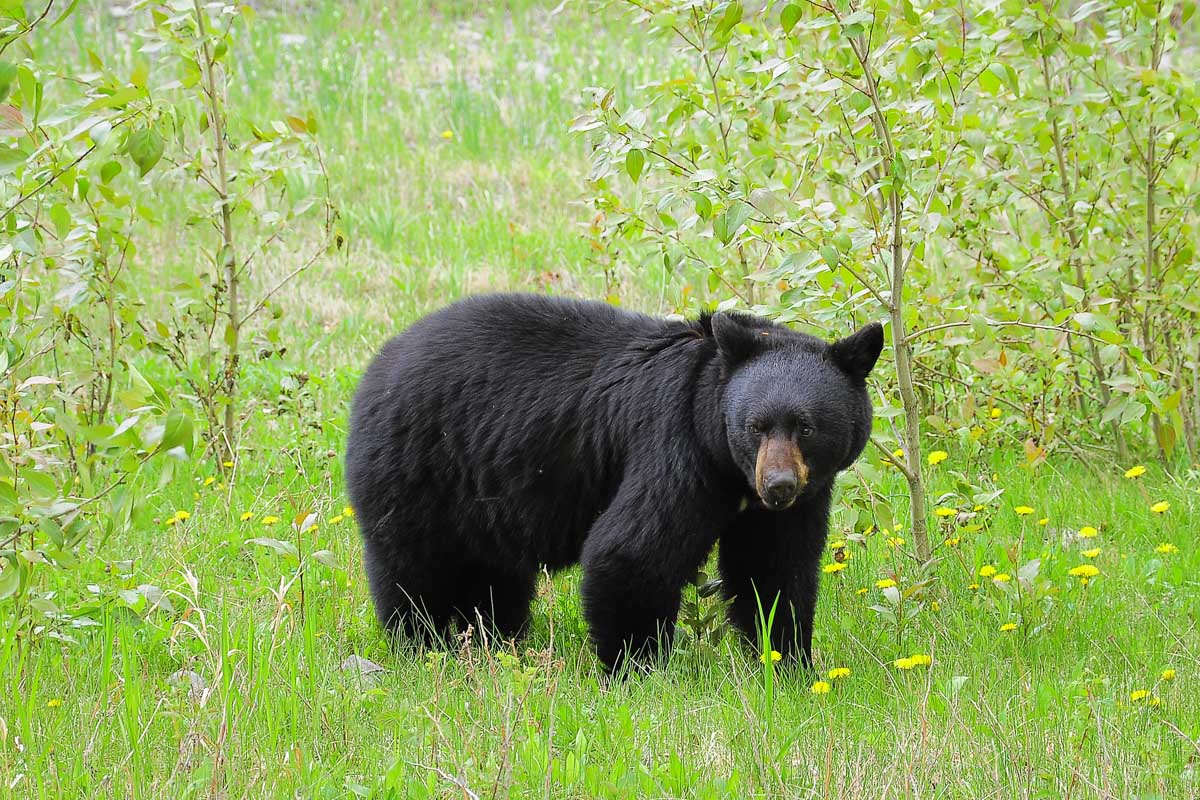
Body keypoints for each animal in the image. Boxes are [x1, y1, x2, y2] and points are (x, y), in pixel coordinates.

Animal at [345, 293, 882, 673]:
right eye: (755, 426)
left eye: (805, 427)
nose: (778, 486)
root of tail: (379, 362)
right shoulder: (675, 448)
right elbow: (632, 550)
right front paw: (636, 669)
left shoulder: (793, 502)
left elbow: (774, 569)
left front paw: (790, 663)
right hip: (417, 467)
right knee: (414, 568)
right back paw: (423, 646)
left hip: (484, 493)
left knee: (494, 575)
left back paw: (495, 640)